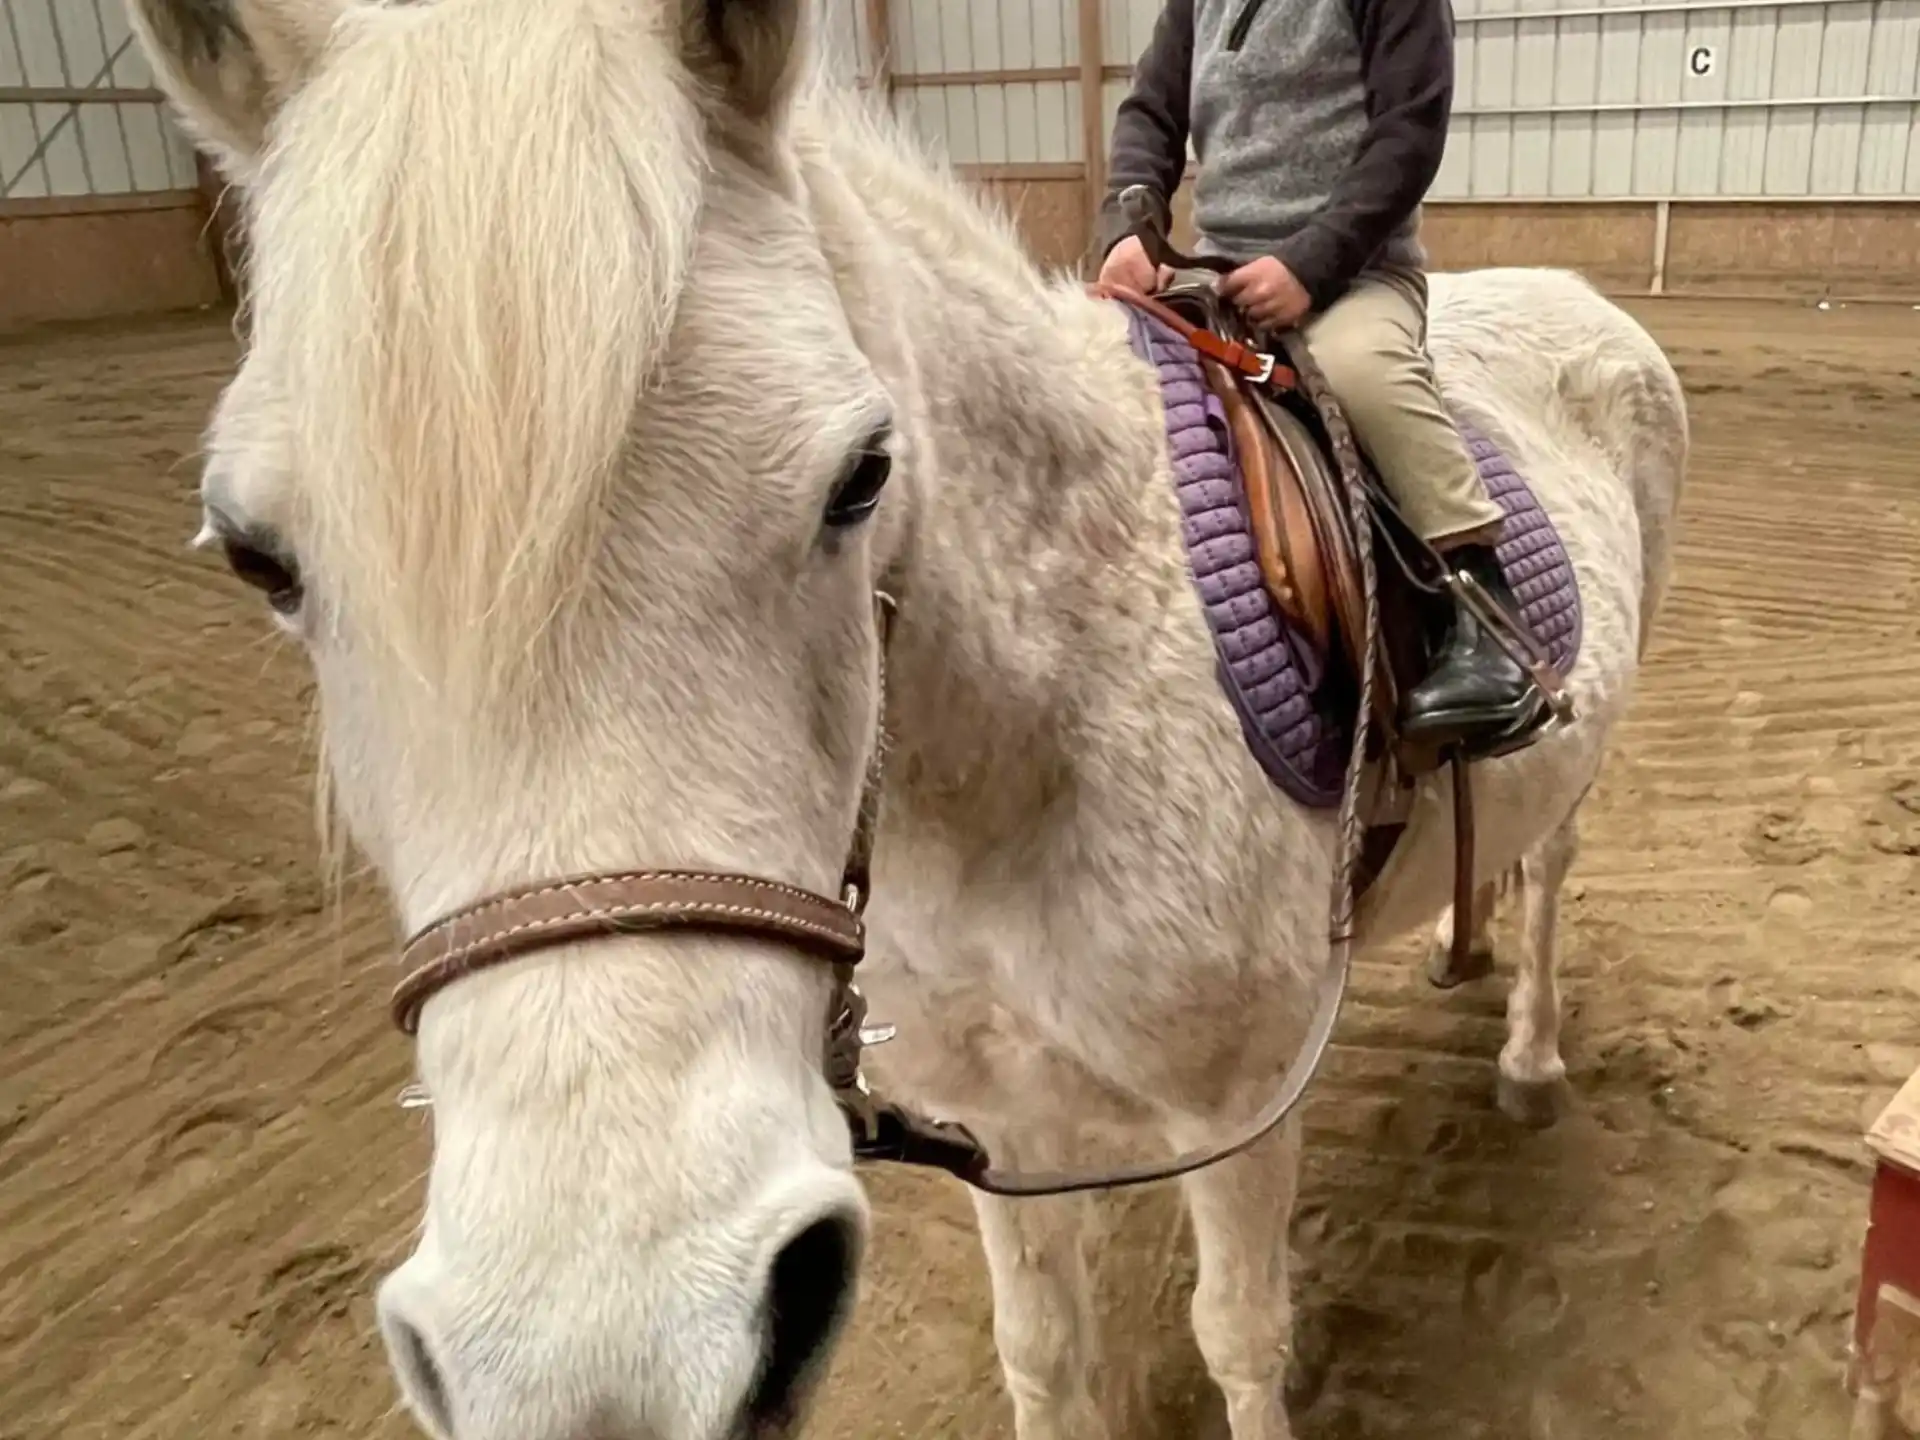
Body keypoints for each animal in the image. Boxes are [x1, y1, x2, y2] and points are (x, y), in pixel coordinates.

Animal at [128, 0, 1688, 1435]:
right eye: (259, 557)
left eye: (861, 475)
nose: (609, 1359)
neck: (1048, 725)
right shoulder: (1000, 1123)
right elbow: (1044, 1355)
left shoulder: (1238, 1114)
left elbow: (1241, 1338)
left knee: (1554, 868)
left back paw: (1530, 1058)